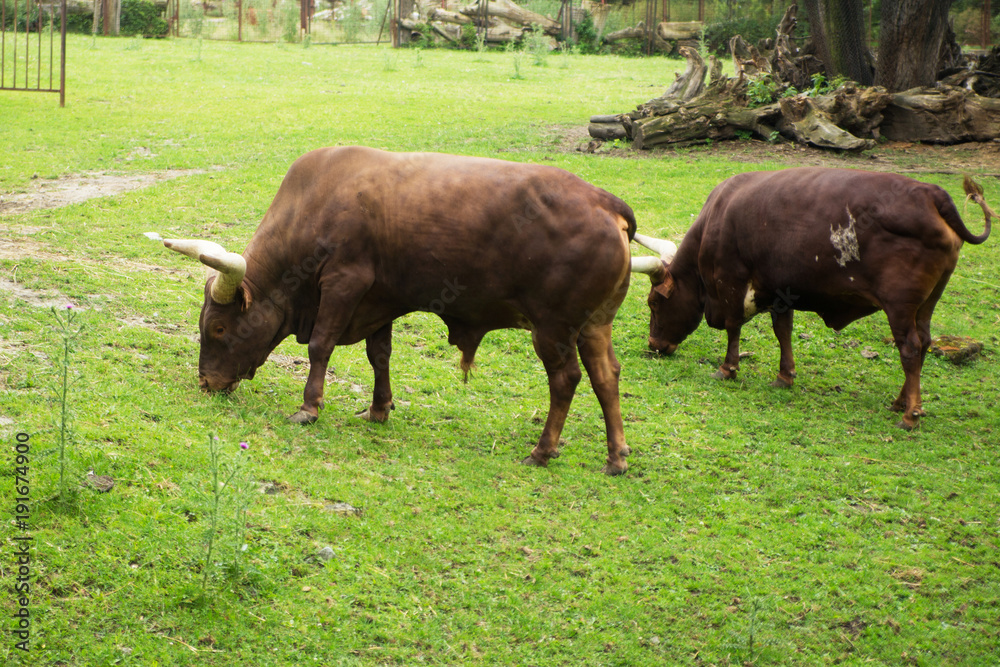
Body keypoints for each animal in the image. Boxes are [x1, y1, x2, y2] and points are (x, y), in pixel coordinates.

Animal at [152, 147, 636, 474]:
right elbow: (378, 355)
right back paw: (616, 456)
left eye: (218, 328)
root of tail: (604, 202)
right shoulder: (378, 302)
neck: (314, 203)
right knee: (605, 376)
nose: (207, 383)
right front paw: (378, 409)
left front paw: (309, 407)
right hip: (594, 325)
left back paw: (543, 449)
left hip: (552, 328)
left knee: (566, 379)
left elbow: (320, 346)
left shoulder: (344, 282)